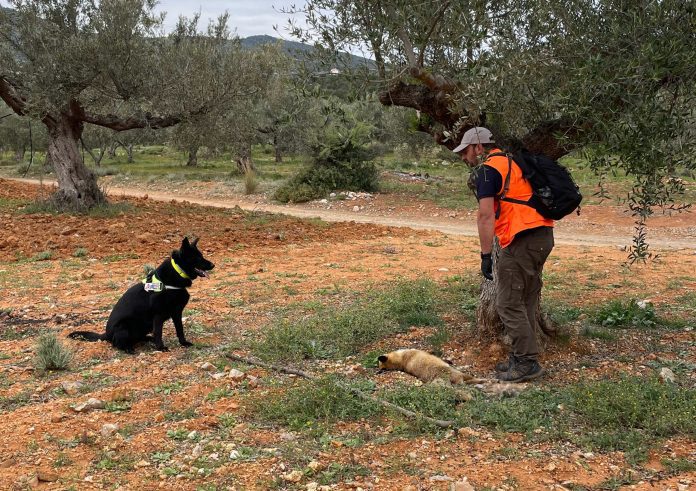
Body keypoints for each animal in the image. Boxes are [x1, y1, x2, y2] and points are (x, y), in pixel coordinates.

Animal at [70, 238, 215, 354]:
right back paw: (129, 349)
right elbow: (159, 333)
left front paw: (183, 343)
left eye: (201, 255)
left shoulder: (176, 313)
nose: (213, 265)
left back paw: (147, 339)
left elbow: (180, 330)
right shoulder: (158, 315)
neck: (175, 274)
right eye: (198, 257)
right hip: (124, 326)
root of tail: (106, 334)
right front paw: (160, 347)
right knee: (118, 344)